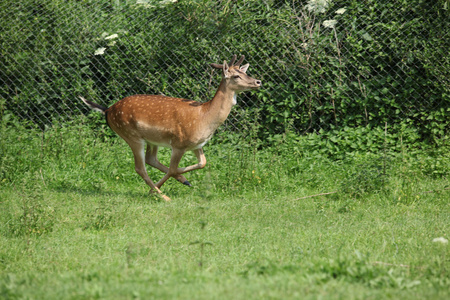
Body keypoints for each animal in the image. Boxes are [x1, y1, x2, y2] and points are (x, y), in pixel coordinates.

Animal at [80, 55, 262, 202]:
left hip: (151, 140)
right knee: (140, 168)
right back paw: (164, 196)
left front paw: (181, 180)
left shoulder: (197, 145)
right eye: (236, 75)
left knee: (151, 159)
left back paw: (174, 183)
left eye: (245, 72)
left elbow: (202, 163)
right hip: (131, 135)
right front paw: (165, 186)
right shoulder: (179, 143)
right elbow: (173, 168)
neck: (204, 116)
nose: (258, 81)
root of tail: (108, 110)